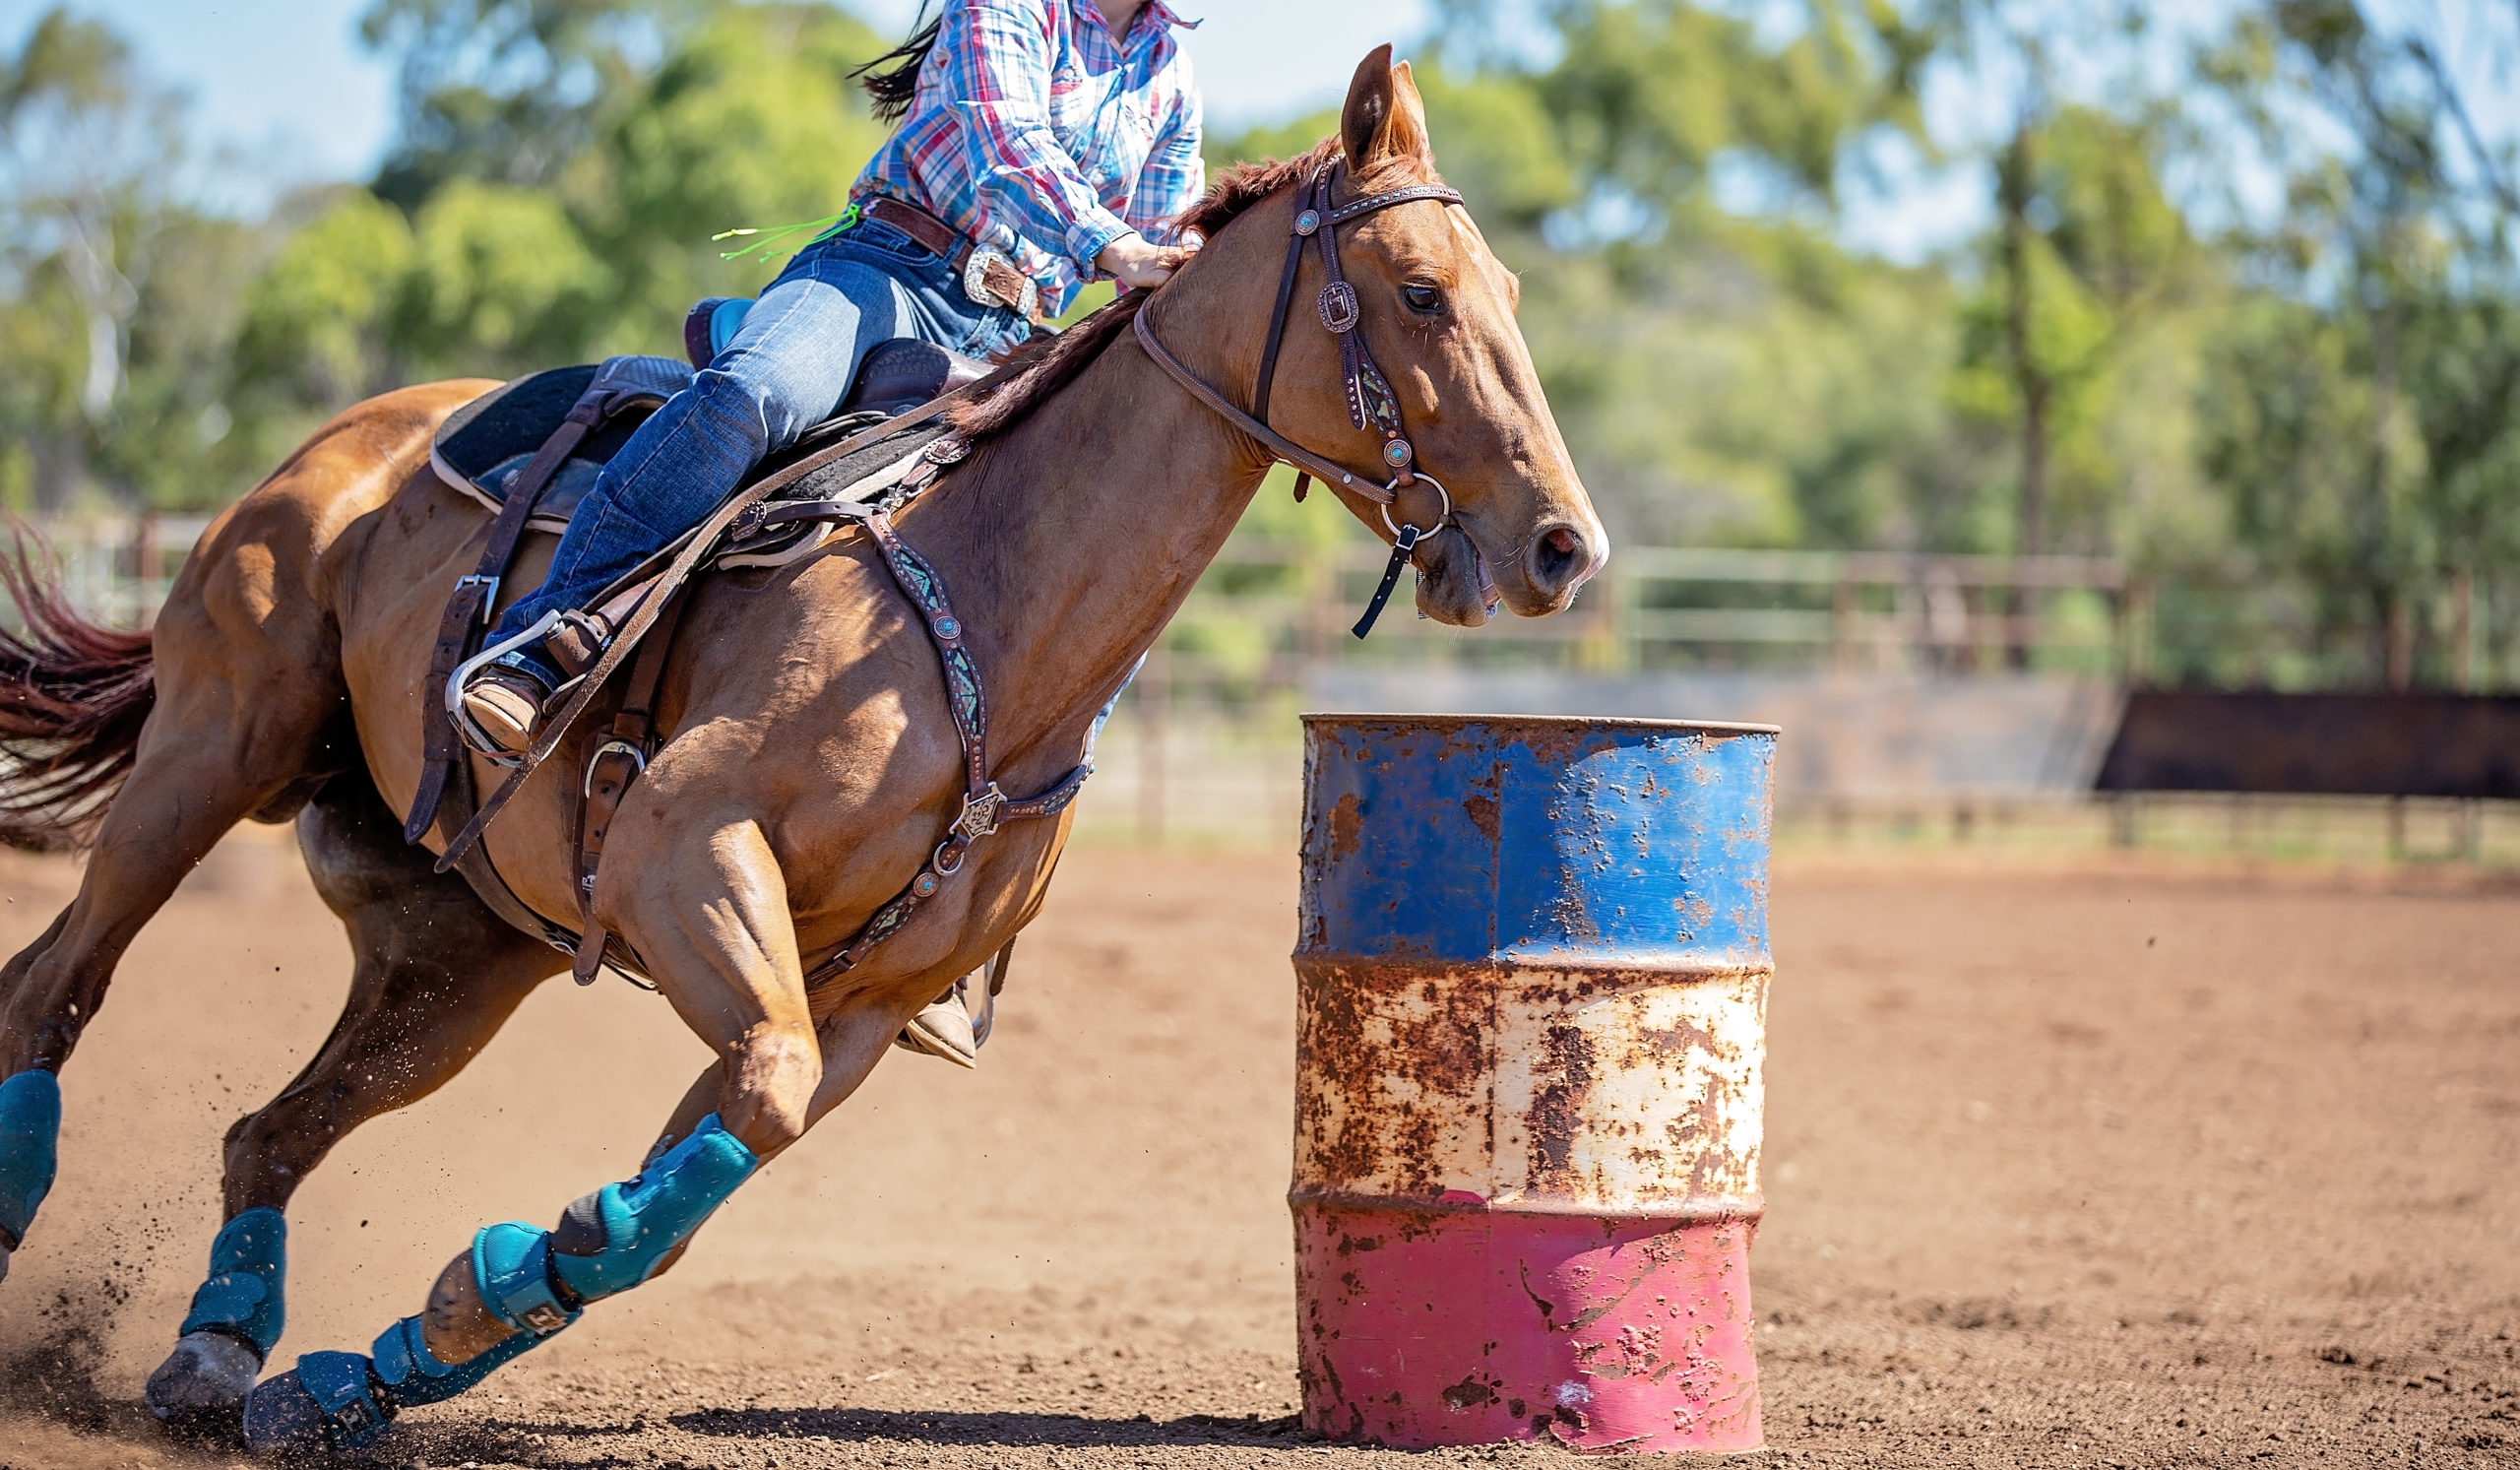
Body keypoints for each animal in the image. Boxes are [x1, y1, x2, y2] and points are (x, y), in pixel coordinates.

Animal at [0, 48, 1603, 1462]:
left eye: (1519, 295)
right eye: (1418, 291)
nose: (1561, 547)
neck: (989, 600)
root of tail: (349, 443)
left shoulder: (859, 1004)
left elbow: (702, 1171)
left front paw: (428, 1333)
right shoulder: (684, 851)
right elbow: (737, 1111)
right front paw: (483, 1292)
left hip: (453, 957)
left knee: (270, 1130)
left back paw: (224, 1355)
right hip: (214, 751)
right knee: (54, 986)